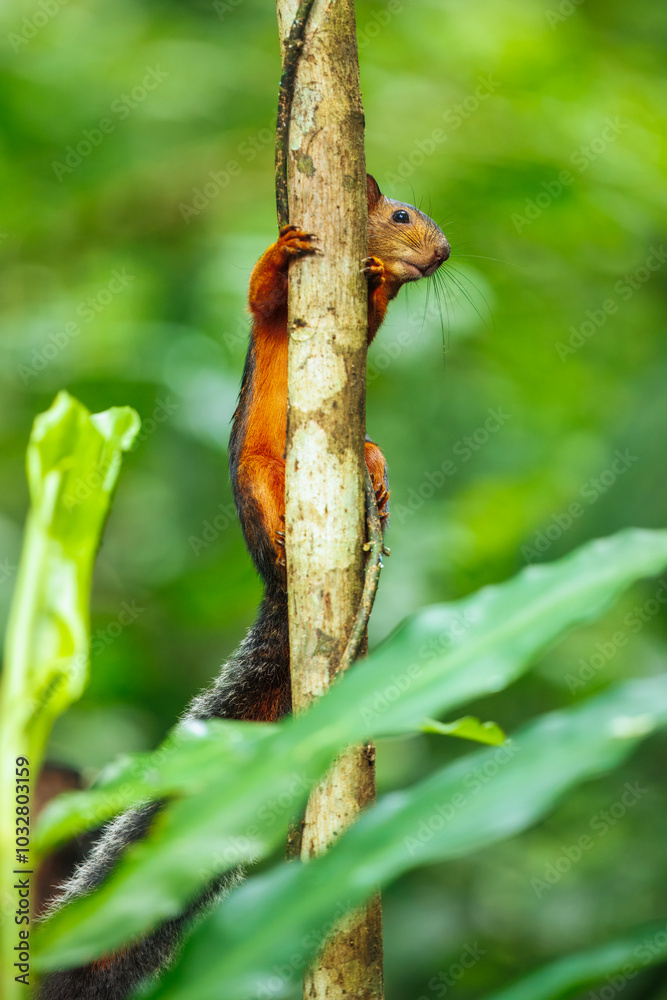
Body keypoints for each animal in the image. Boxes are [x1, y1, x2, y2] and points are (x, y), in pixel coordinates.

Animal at [38, 174, 450, 1000]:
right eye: (399, 215)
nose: (442, 253)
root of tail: (274, 587)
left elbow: (368, 321)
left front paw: (379, 282)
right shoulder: (271, 317)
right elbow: (260, 296)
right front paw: (287, 249)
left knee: (366, 450)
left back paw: (377, 476)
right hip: (261, 479)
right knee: (272, 508)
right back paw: (290, 542)